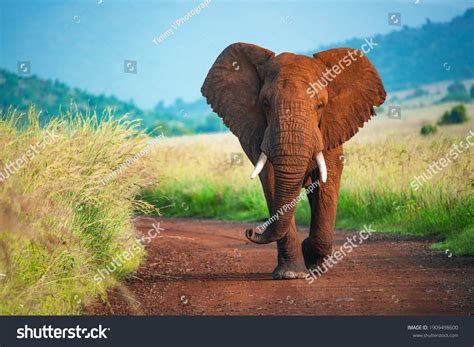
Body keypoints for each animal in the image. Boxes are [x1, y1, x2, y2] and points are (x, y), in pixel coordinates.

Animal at [200, 42, 386, 280]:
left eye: (320, 105)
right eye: (265, 103)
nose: (251, 230)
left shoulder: (330, 128)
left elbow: (327, 182)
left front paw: (313, 262)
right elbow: (271, 180)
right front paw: (291, 274)